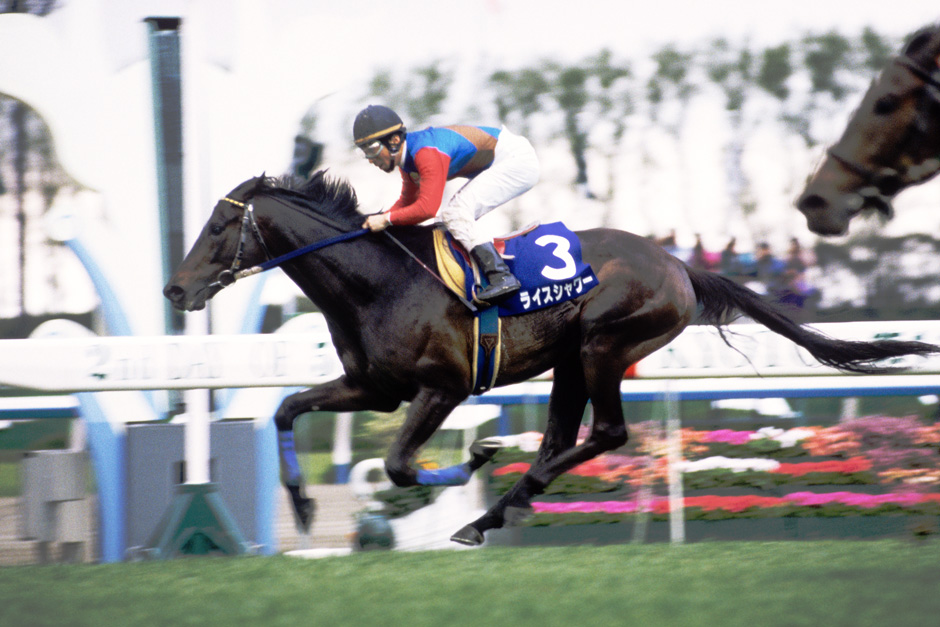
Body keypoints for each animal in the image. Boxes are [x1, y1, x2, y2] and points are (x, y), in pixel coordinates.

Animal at [164, 171, 938, 546]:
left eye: (220, 224)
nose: (175, 288)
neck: (379, 280)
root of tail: (679, 264)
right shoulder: (372, 388)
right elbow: (287, 409)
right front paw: (297, 505)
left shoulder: (444, 387)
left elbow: (400, 464)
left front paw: (474, 458)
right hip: (571, 360)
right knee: (564, 437)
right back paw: (492, 513)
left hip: (605, 344)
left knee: (605, 433)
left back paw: (496, 503)